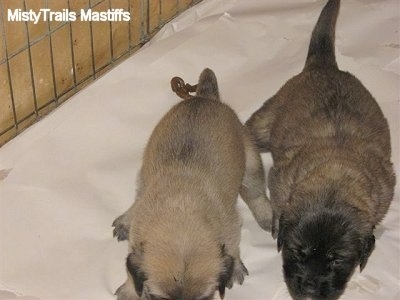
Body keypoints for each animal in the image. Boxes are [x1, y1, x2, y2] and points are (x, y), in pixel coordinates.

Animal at [112, 68, 274, 300]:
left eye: (204, 298)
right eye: (157, 297)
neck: (181, 216)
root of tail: (205, 97)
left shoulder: (231, 227)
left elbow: (233, 248)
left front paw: (234, 267)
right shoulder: (137, 242)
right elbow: (130, 269)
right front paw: (129, 290)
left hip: (250, 162)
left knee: (256, 193)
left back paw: (267, 216)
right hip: (145, 172)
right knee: (139, 196)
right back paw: (126, 219)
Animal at [245, 0, 396, 300]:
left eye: (336, 260)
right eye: (298, 252)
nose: (310, 290)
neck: (334, 183)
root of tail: (323, 65)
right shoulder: (279, 182)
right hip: (265, 123)